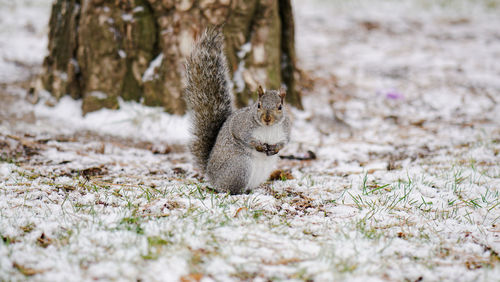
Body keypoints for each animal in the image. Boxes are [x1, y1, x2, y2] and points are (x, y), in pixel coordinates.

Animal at [184, 28, 292, 195]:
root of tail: (211, 175)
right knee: (228, 189)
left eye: (280, 107)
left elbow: (285, 142)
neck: (268, 128)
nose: (267, 118)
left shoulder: (285, 130)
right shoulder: (240, 125)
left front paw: (275, 148)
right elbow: (243, 136)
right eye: (258, 105)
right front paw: (259, 146)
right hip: (240, 166)